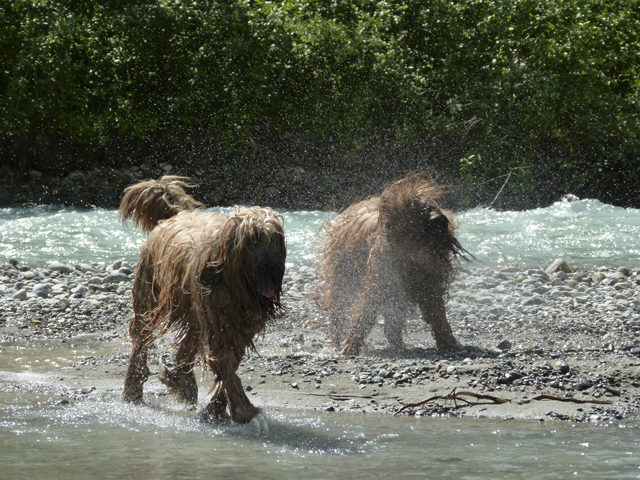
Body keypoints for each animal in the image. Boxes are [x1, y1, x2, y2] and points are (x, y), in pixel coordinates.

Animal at [118, 176, 288, 424]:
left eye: (276, 238)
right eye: (254, 238)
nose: (273, 266)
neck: (236, 284)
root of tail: (174, 215)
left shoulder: (240, 327)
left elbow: (230, 362)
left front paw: (216, 410)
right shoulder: (219, 322)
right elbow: (224, 363)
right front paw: (244, 409)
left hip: (191, 310)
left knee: (185, 347)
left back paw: (182, 383)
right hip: (149, 291)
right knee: (141, 337)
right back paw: (133, 388)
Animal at [318, 173, 468, 356]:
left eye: (430, 206)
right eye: (417, 211)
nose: (439, 219)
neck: (413, 252)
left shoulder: (430, 280)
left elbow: (436, 311)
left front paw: (449, 342)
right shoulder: (382, 275)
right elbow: (366, 310)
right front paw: (351, 346)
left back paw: (399, 343)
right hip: (344, 271)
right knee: (338, 306)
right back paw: (332, 343)